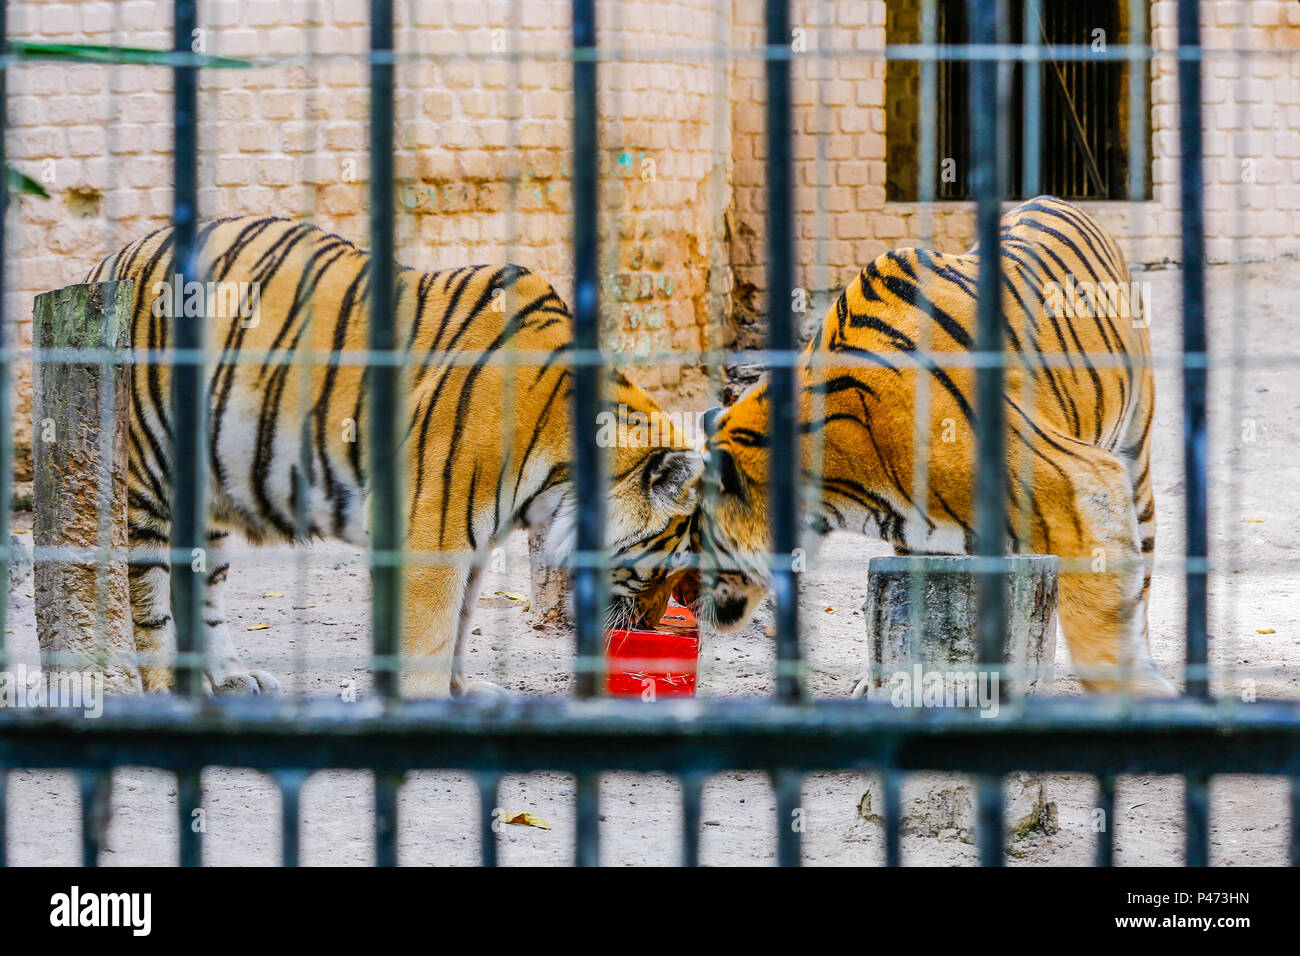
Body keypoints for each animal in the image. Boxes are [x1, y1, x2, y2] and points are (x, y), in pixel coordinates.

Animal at [86, 214, 702, 697]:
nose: (651, 624)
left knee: (201, 588)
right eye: (666, 564)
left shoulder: (474, 538)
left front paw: (464, 692)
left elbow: (462, 622)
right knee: (147, 604)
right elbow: (432, 631)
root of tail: (108, 261)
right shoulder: (436, 528)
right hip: (147, 479)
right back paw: (163, 690)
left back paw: (233, 678)